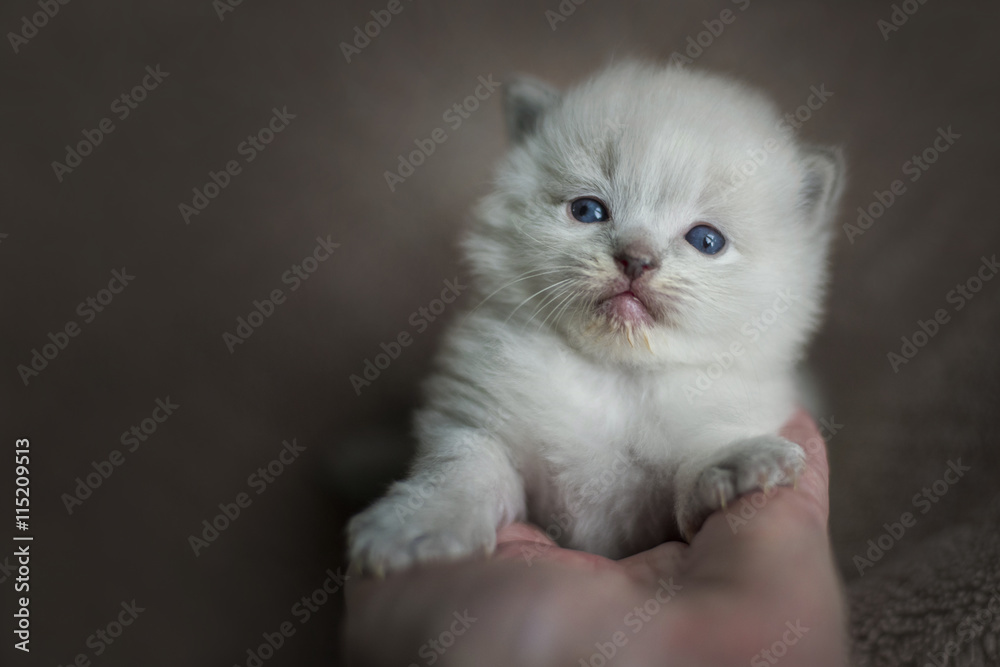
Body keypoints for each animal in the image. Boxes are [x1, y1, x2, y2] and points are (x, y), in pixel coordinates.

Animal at [348, 61, 840, 576]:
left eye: (706, 241)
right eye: (588, 210)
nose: (636, 259)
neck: (615, 375)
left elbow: (695, 465)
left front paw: (737, 463)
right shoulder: (478, 428)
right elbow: (462, 471)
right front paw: (414, 529)